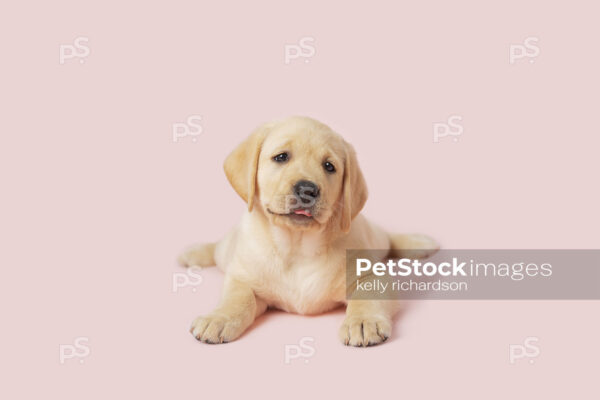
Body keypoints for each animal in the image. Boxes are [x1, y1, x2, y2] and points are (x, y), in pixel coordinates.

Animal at [178, 114, 436, 346]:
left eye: (329, 166)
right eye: (281, 157)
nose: (307, 190)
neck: (296, 246)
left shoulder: (371, 276)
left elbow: (367, 297)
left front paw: (363, 321)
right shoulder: (242, 277)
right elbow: (237, 298)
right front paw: (218, 318)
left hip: (373, 236)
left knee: (389, 239)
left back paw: (420, 243)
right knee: (216, 249)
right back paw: (193, 253)